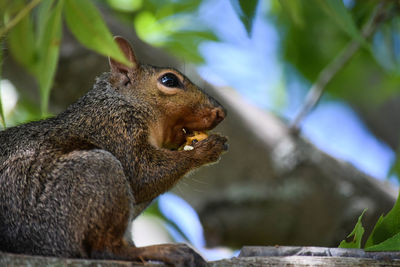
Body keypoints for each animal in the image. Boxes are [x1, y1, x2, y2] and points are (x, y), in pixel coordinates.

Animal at [0, 36, 227, 266]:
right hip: (91, 177)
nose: (221, 112)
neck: (122, 102)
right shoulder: (114, 128)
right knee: (105, 250)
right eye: (169, 80)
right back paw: (162, 251)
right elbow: (142, 173)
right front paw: (206, 149)